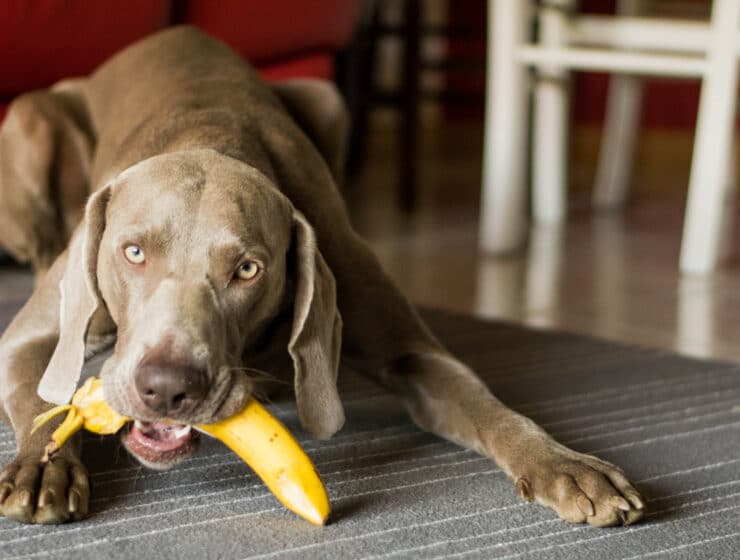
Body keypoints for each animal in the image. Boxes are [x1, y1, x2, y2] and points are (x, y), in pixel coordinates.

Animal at [0, 26, 640, 524]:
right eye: (132, 253)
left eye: (247, 270)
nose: (167, 387)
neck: (209, 138)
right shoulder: (31, 336)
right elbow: (38, 401)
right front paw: (41, 467)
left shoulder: (409, 347)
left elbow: (489, 406)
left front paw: (564, 464)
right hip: (30, 117)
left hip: (327, 96)